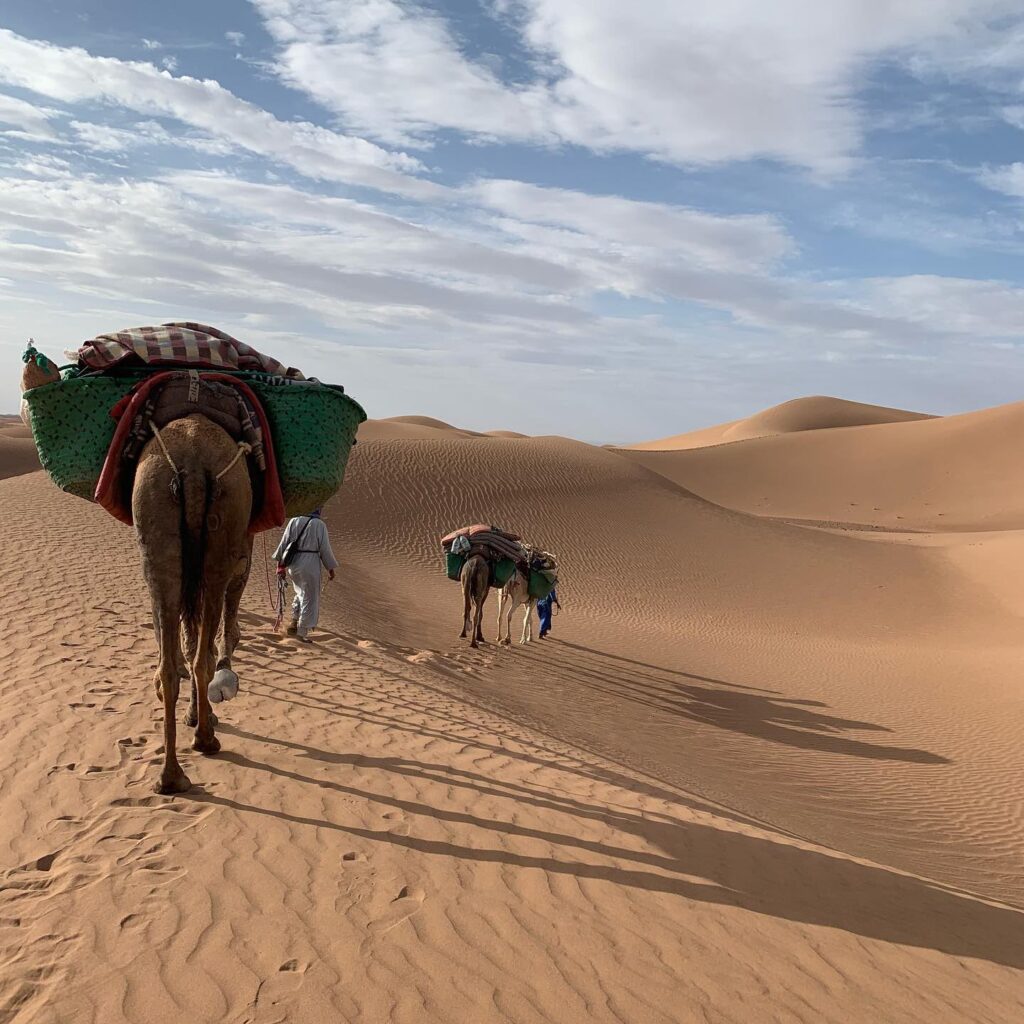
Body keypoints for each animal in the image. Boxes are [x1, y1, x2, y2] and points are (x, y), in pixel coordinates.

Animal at [133, 415, 254, 794]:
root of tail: (193, 457)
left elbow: (184, 640)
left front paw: (195, 713)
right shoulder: (242, 557)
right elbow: (222, 634)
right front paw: (205, 714)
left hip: (154, 509)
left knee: (171, 664)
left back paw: (171, 776)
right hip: (225, 525)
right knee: (203, 655)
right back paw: (205, 741)